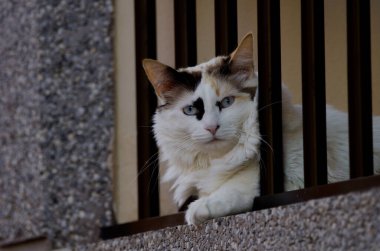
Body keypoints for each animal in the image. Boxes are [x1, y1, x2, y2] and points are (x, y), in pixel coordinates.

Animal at [142, 32, 380, 225]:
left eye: (227, 102)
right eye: (191, 110)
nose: (212, 127)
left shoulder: (300, 171)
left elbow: (246, 178)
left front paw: (200, 208)